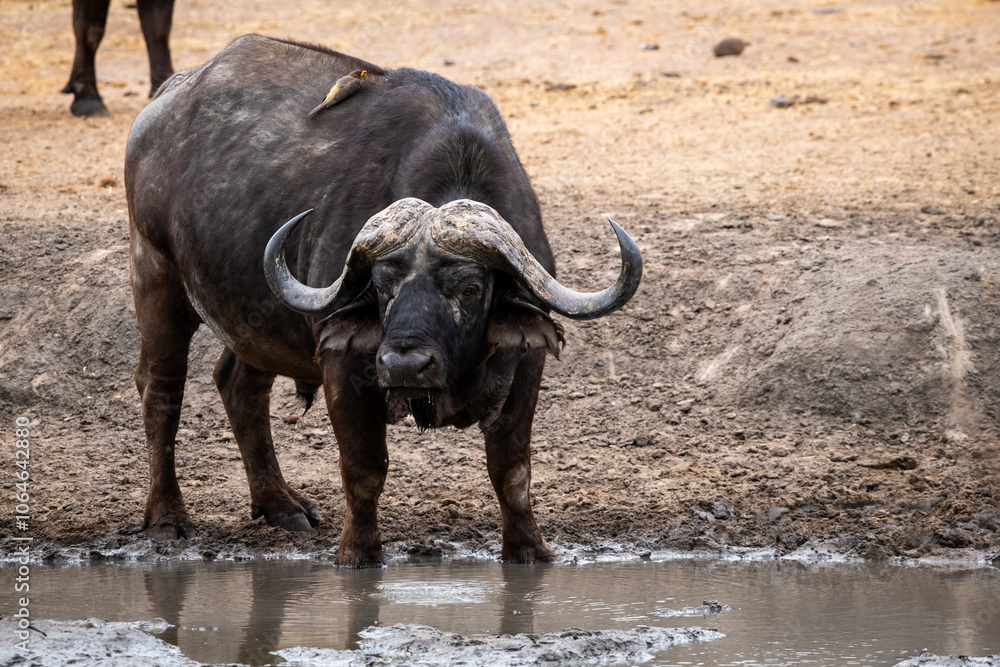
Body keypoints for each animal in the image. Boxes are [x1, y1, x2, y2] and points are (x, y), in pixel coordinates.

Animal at [125, 34, 642, 565]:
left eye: (470, 289)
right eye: (381, 287)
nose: (404, 364)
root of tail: (163, 102)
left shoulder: (526, 361)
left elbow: (512, 470)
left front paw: (529, 551)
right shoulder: (344, 363)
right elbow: (364, 468)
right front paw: (358, 553)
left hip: (254, 320)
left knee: (239, 385)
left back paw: (281, 505)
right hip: (155, 273)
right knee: (160, 390)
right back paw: (167, 517)